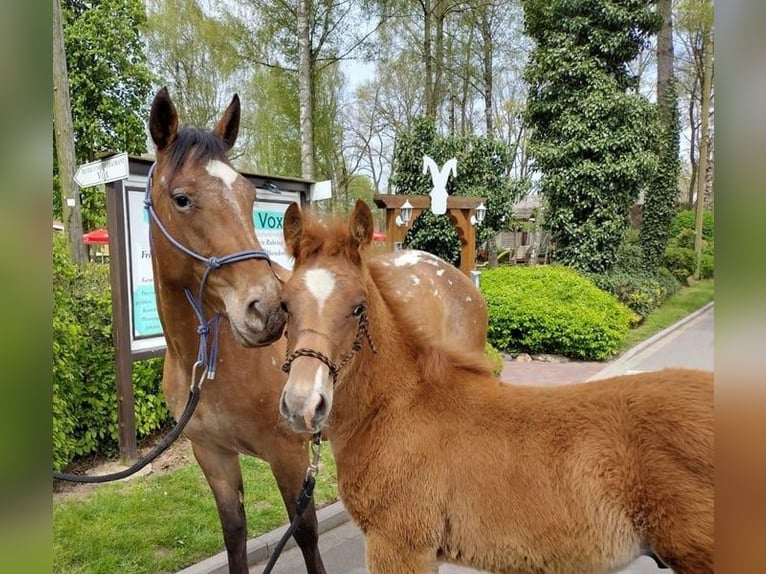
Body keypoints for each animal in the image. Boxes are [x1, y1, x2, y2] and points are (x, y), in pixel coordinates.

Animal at [147, 88, 488, 572]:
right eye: (181, 198)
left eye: (248, 195)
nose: (266, 310)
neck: (212, 362)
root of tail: (452, 274)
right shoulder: (213, 456)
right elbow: (234, 536)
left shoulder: (290, 454)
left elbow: (305, 534)